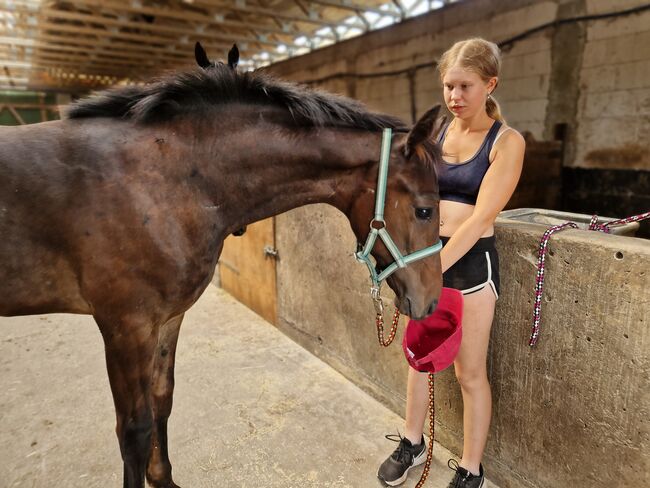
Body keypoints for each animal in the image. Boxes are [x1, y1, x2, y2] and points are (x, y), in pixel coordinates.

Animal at [0, 63, 442, 486]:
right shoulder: (126, 327)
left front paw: (164, 479)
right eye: (424, 210)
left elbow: (162, 400)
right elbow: (135, 431)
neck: (164, 178)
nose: (432, 300)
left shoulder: (167, 319)